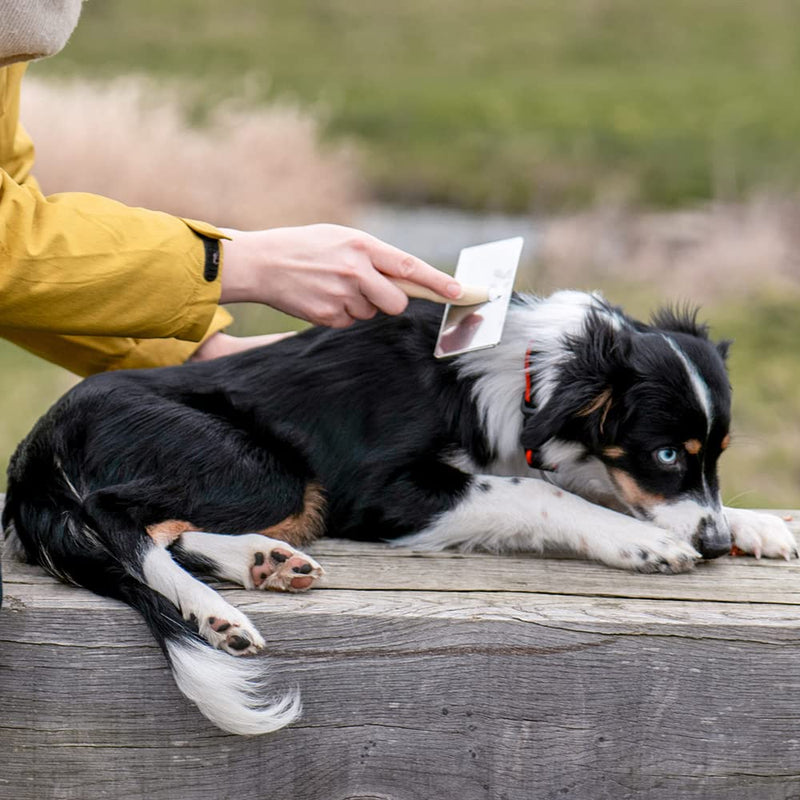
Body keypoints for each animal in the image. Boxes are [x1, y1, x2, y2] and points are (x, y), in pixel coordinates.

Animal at [3, 290, 796, 736]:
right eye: (664, 454)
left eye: (715, 454)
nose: (714, 544)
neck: (533, 370)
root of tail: (38, 443)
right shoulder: (385, 493)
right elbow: (537, 492)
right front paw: (641, 542)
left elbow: (587, 485)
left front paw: (754, 524)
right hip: (265, 468)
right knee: (117, 520)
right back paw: (215, 612)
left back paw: (266, 562)